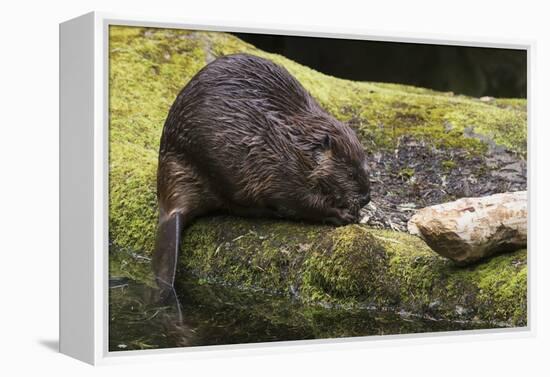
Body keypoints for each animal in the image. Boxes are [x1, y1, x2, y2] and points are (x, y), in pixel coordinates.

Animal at [153, 52, 374, 288]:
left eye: (365, 167)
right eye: (350, 173)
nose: (366, 198)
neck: (296, 143)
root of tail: (170, 210)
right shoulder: (278, 168)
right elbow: (302, 201)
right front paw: (344, 214)